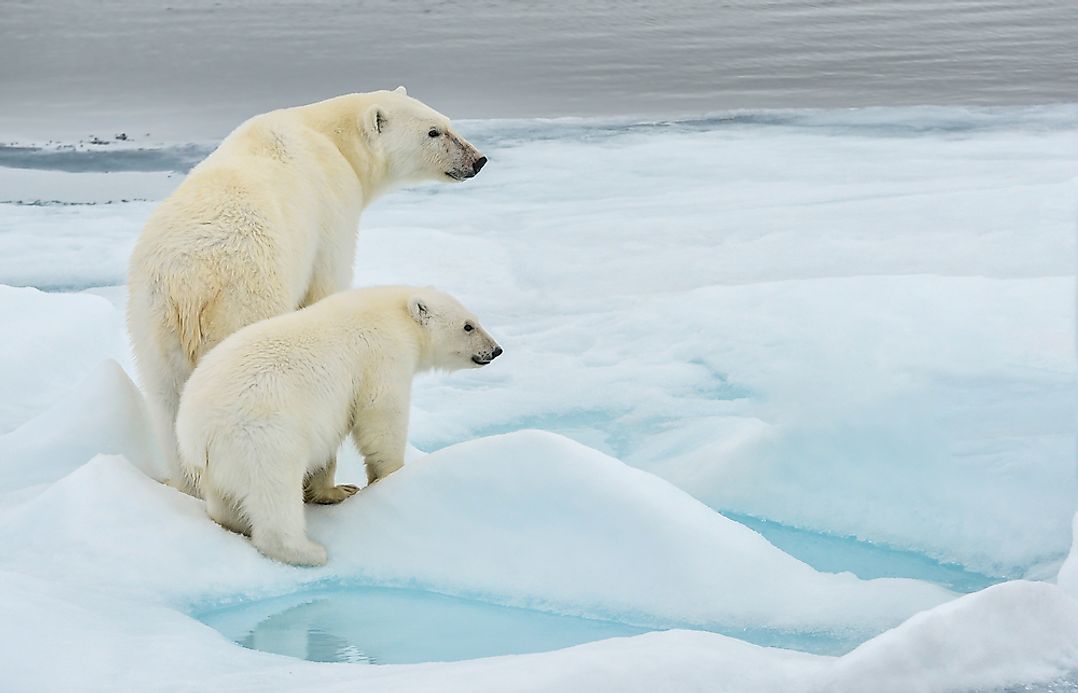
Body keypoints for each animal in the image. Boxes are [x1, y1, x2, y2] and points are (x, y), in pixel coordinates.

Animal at [126, 88, 485, 497]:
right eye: (433, 132)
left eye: (448, 123)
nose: (478, 160)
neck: (326, 133)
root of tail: (189, 285)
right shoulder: (332, 207)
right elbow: (328, 285)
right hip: (243, 302)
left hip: (152, 325)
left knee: (167, 405)